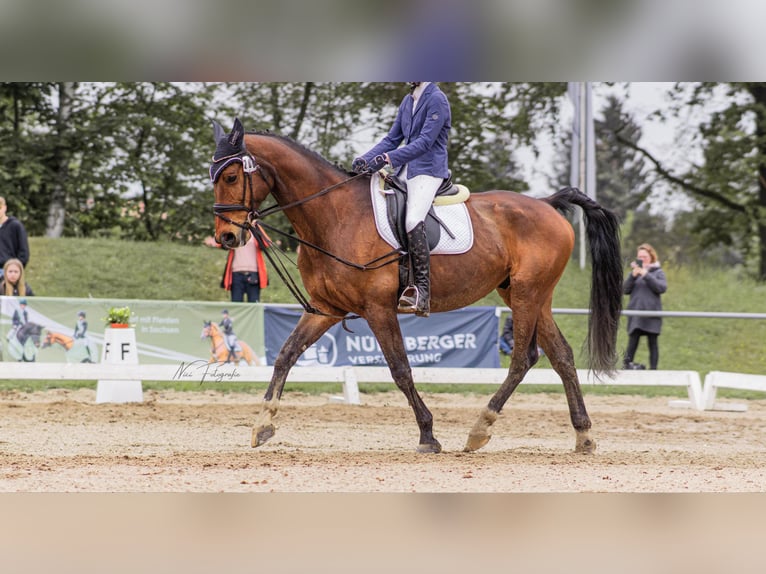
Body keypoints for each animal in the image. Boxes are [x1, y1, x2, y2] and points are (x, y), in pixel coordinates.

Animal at [210, 119, 624, 456]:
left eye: (230, 178)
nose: (227, 237)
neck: (334, 216)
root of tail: (547, 204)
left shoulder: (378, 309)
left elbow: (400, 369)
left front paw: (428, 435)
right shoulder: (327, 307)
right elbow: (286, 355)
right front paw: (263, 423)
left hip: (525, 294)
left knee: (524, 358)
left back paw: (480, 429)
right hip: (532, 295)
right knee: (562, 357)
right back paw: (583, 436)